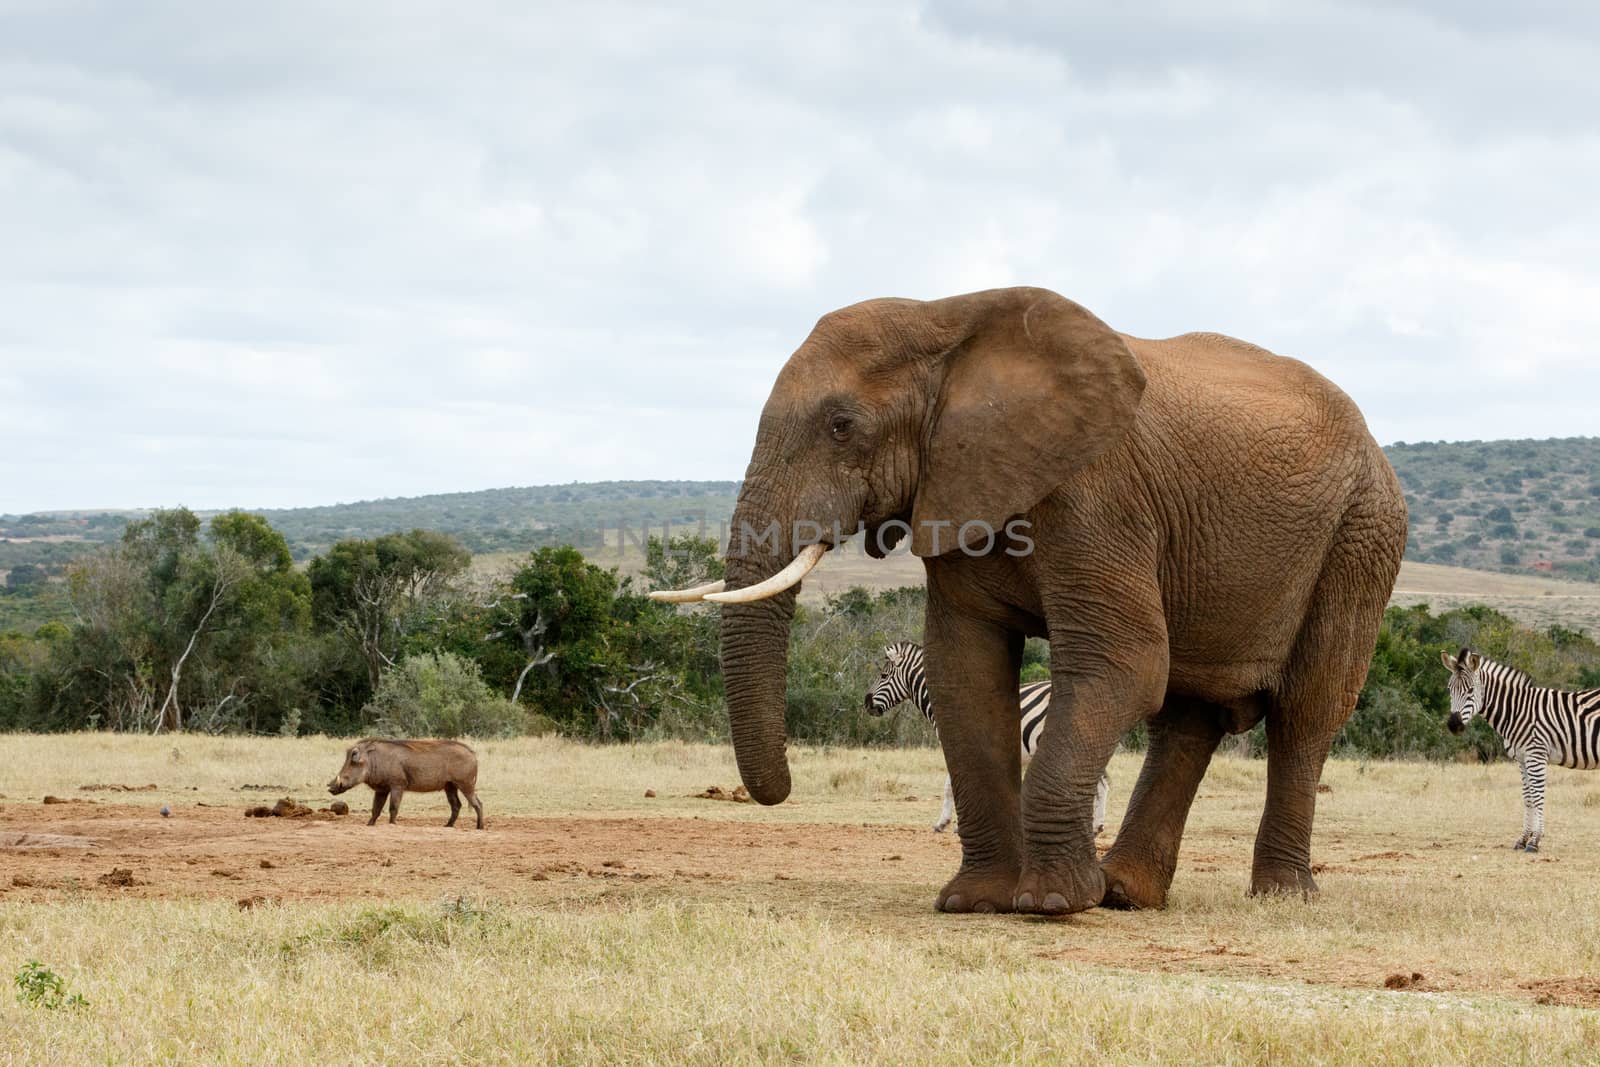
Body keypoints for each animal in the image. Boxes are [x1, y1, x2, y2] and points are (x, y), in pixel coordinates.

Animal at [864, 643, 1113, 831]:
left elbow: (951, 785)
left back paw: (1093, 826)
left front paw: (946, 823)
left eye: (883, 675)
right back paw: (1095, 825)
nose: (866, 703)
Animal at [1440, 646, 1600, 857]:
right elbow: (1528, 798)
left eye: (1470, 691)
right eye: (1449, 689)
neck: (1517, 711)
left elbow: (1538, 797)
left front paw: (1535, 841)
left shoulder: (1536, 755)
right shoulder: (1522, 759)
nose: (1453, 725)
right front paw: (1523, 839)